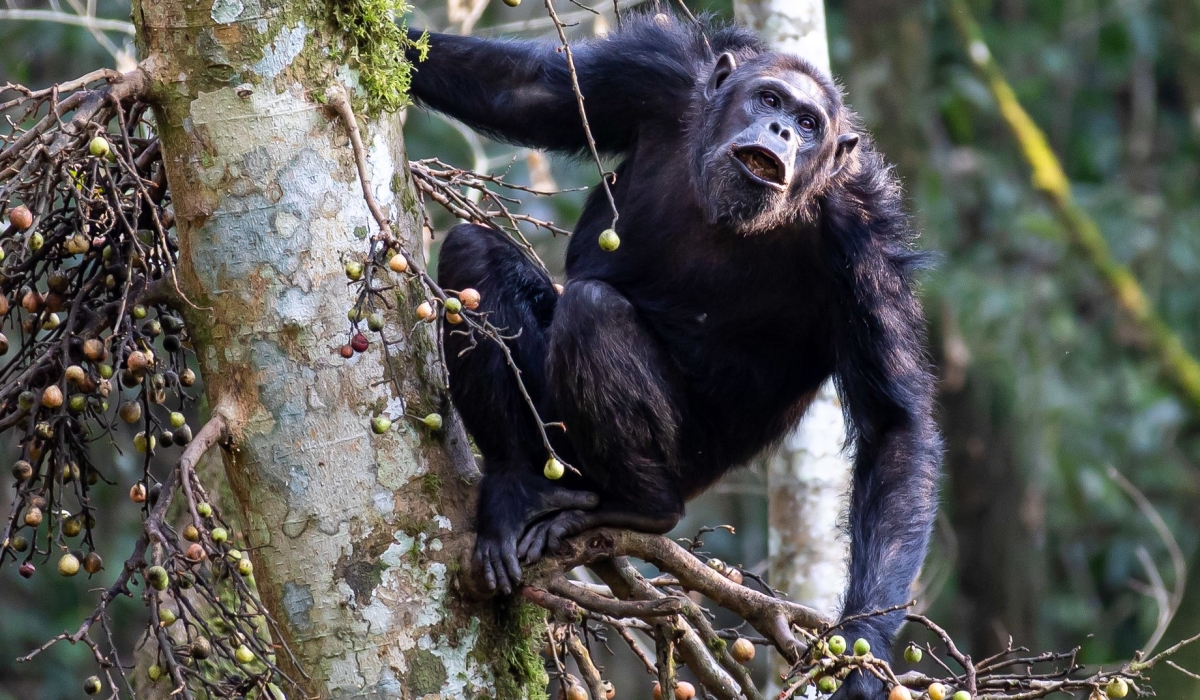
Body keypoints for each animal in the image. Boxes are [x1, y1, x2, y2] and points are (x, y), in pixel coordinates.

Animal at [408, 10, 940, 696]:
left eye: (809, 125)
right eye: (770, 100)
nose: (779, 131)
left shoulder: (866, 236)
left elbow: (893, 422)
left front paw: (860, 657)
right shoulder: (654, 74)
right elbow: (528, 90)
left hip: (680, 463)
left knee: (592, 311)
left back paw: (642, 509)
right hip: (553, 444)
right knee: (474, 252)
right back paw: (514, 490)